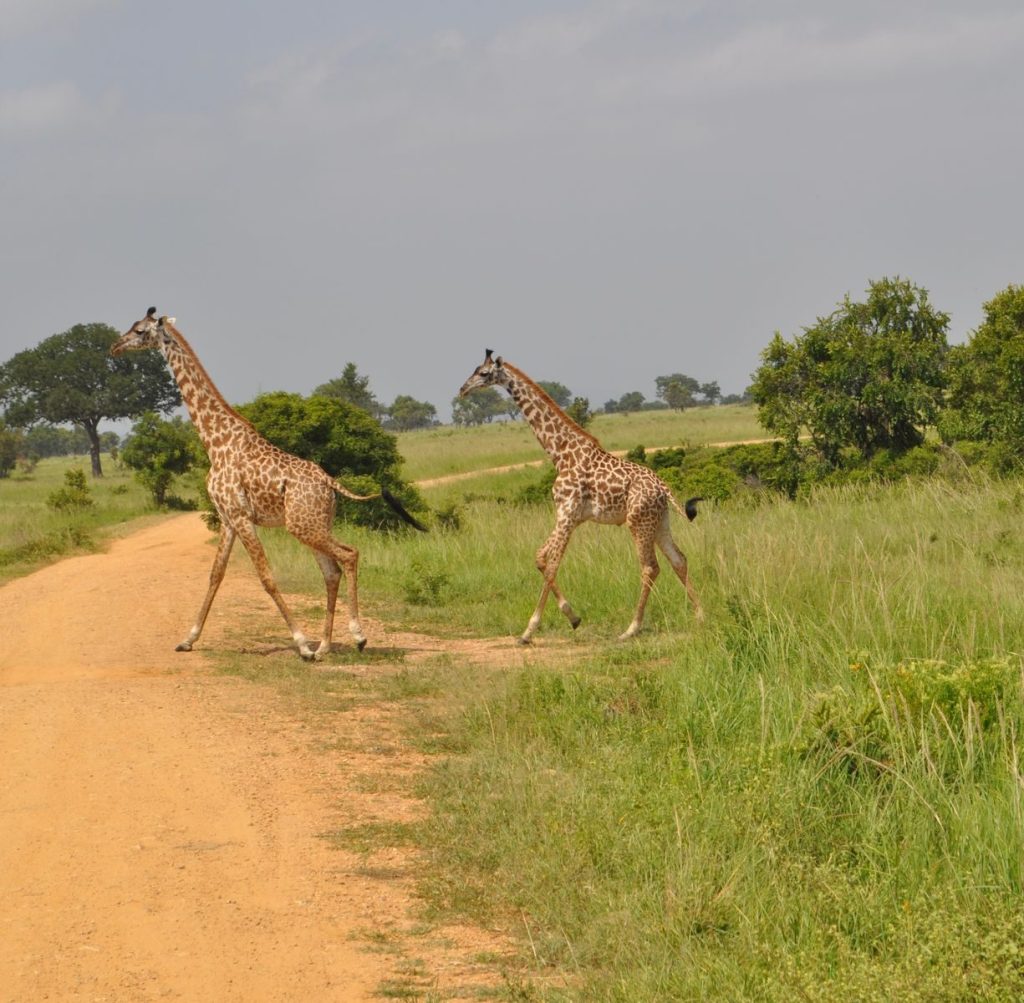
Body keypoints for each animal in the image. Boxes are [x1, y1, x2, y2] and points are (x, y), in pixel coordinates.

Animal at [112, 308, 425, 661]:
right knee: (331, 572)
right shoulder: (227, 518)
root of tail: (331, 481)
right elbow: (215, 574)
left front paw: (301, 643)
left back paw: (355, 637)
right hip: (314, 523)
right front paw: (188, 639)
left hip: (303, 525)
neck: (215, 442)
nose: (114, 347)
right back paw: (325, 646)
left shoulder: (241, 517)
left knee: (349, 555)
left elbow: (266, 577)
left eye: (139, 331)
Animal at [459, 350, 703, 644]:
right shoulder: (571, 517)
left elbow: (552, 565)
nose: (462, 389)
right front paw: (573, 618)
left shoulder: (566, 512)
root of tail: (663, 487)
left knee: (650, 567)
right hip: (660, 521)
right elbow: (540, 558)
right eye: (474, 370)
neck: (560, 453)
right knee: (679, 559)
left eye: (483, 373)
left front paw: (529, 630)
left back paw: (631, 629)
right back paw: (700, 616)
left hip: (638, 522)